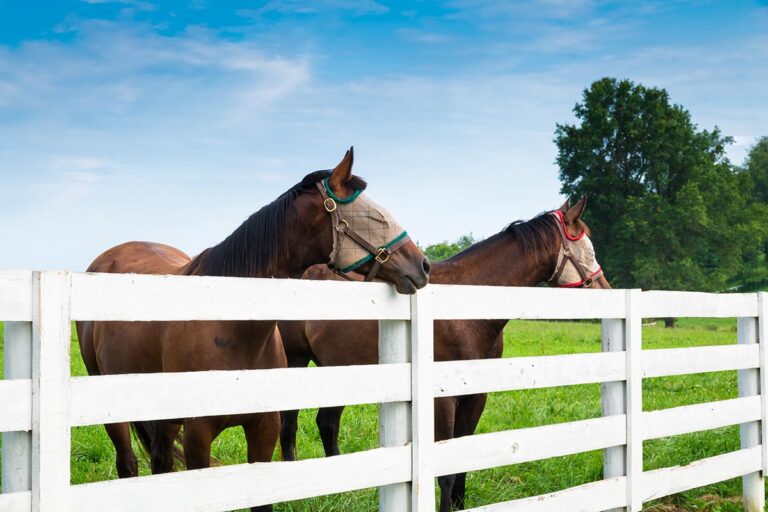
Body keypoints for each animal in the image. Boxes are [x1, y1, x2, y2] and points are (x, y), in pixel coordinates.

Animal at [75, 148, 430, 512]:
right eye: (374, 217)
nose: (422, 266)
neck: (231, 329)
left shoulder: (263, 429)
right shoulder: (198, 436)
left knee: (161, 464)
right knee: (128, 465)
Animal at [277, 197, 610, 512]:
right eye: (586, 246)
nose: (605, 289)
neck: (465, 310)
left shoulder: (476, 397)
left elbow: (461, 460)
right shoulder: (443, 401)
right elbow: (446, 469)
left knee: (327, 423)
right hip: (296, 362)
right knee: (290, 423)